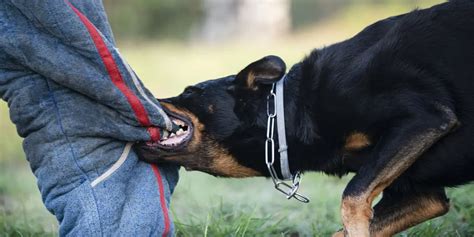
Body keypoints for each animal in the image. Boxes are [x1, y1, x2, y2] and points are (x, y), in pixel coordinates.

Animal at [135, 0, 474, 236]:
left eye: (190, 91)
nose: (146, 93)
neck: (290, 113)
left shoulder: (424, 117)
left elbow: (351, 200)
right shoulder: (423, 194)